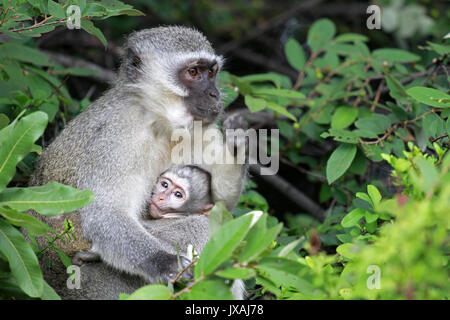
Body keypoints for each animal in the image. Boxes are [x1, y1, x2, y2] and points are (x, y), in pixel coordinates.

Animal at [29, 25, 246, 296]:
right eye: (193, 72)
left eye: (212, 73)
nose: (214, 94)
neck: (157, 122)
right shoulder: (117, 136)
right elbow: (106, 215)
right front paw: (165, 262)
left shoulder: (200, 132)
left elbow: (221, 204)